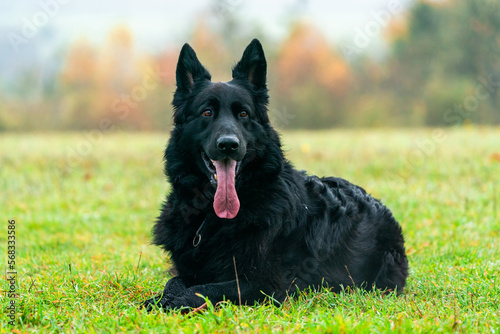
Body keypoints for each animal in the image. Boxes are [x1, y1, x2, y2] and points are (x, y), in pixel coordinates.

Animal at [141, 40, 406, 312]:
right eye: (207, 113)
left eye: (243, 114)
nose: (229, 145)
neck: (210, 218)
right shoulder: (189, 269)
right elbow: (174, 281)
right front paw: (159, 299)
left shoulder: (264, 285)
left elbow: (202, 290)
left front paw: (171, 303)